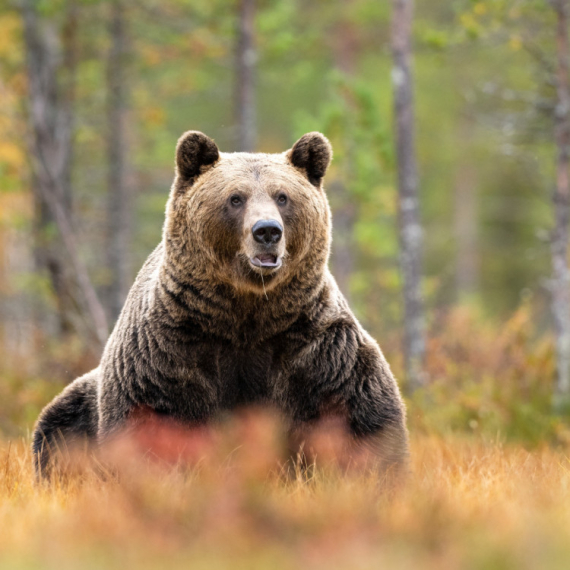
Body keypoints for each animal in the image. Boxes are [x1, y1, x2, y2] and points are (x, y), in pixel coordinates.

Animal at [32, 132, 408, 474]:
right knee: (58, 428)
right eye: (235, 198)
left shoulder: (314, 347)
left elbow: (358, 416)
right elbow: (152, 423)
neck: (245, 313)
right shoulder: (169, 350)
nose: (267, 231)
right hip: (81, 402)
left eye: (282, 196)